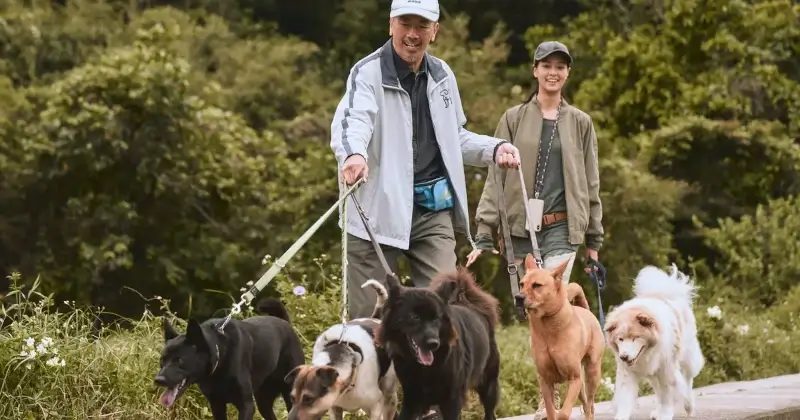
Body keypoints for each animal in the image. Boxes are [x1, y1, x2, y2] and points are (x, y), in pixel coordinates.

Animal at [155, 298, 304, 420]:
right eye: (162, 360)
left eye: (180, 360)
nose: (158, 380)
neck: (220, 356)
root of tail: (286, 323)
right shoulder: (217, 405)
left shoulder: (246, 406)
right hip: (263, 401)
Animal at [284, 278, 396, 420]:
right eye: (292, 398)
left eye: (308, 399)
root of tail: (375, 318)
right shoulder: (334, 408)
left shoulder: (375, 406)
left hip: (389, 395)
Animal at [376, 268, 500, 420]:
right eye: (414, 317)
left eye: (436, 318)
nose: (433, 343)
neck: (423, 368)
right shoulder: (411, 398)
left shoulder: (452, 400)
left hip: (489, 385)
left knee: (490, 412)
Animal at [516, 253, 604, 420]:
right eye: (521, 284)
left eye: (537, 285)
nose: (518, 297)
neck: (547, 326)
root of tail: (586, 311)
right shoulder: (545, 381)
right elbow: (550, 410)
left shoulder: (574, 378)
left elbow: (563, 412)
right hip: (581, 386)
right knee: (586, 404)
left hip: (592, 374)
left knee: (590, 405)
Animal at [608, 264, 708, 420]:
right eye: (620, 339)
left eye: (635, 337)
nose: (623, 356)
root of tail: (664, 292)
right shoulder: (627, 373)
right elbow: (625, 398)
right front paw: (621, 416)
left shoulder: (666, 370)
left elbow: (667, 395)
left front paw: (665, 415)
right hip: (653, 372)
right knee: (658, 390)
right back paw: (657, 411)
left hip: (686, 358)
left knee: (687, 380)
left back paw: (688, 406)